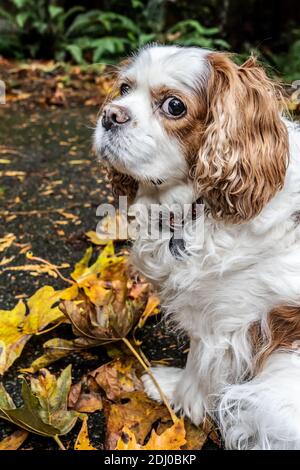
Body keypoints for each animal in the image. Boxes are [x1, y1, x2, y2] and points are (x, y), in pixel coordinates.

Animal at [94, 45, 300, 452]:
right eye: (124, 88)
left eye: (174, 106)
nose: (111, 114)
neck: (199, 208)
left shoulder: (226, 323)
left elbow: (200, 366)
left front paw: (175, 392)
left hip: (269, 395)